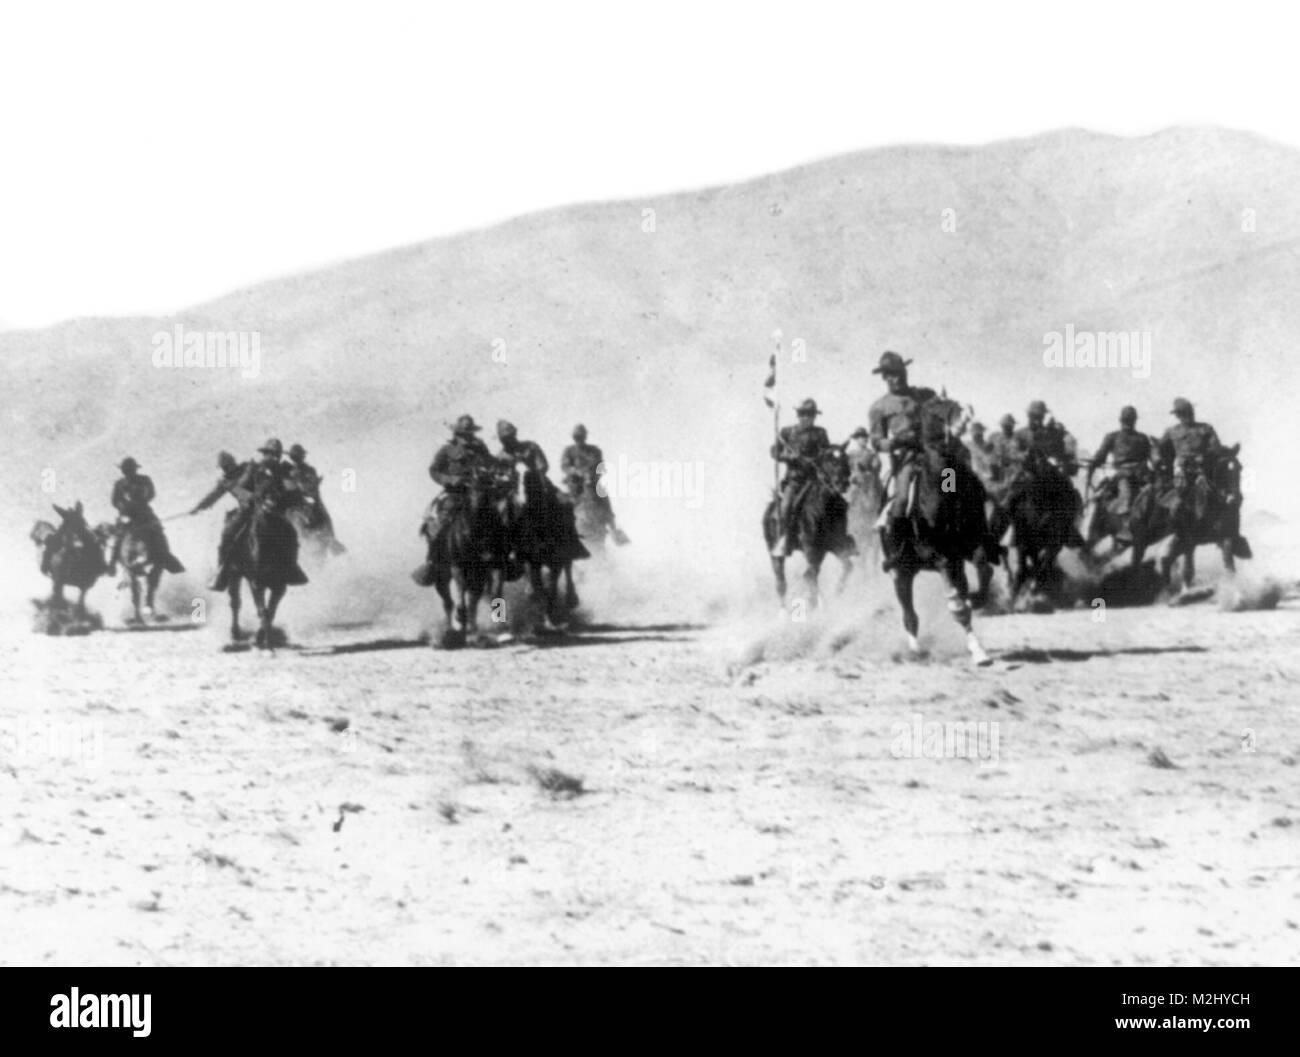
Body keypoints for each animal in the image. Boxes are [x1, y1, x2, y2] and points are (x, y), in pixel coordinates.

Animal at [226, 499, 309, 647]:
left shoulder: (280, 586)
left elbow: (270, 611)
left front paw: (261, 637)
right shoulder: (256, 584)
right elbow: (262, 610)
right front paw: (264, 641)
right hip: (234, 574)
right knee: (235, 601)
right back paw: (234, 633)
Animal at [759, 444, 863, 611]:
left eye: (845, 458)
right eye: (828, 461)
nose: (842, 483)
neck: (824, 508)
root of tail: (770, 508)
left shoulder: (835, 546)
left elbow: (847, 566)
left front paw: (836, 594)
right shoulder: (812, 549)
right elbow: (810, 576)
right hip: (775, 554)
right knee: (781, 583)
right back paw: (784, 612)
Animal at [878, 400, 998, 663]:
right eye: (937, 411)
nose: (966, 416)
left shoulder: (970, 547)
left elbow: (984, 570)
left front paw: (977, 601)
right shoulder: (942, 556)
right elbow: (958, 607)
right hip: (901, 571)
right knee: (909, 614)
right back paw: (915, 649)